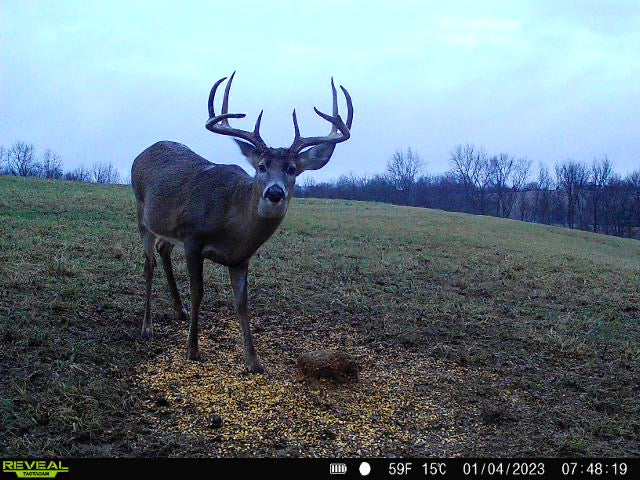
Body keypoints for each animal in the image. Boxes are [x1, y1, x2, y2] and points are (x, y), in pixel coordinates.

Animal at [131, 73, 353, 373]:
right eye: (261, 166)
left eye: (292, 169)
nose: (274, 192)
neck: (231, 225)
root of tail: (142, 153)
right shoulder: (192, 237)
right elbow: (198, 292)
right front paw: (192, 349)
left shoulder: (240, 258)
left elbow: (242, 303)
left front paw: (254, 361)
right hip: (143, 216)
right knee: (148, 265)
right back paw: (147, 328)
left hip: (167, 228)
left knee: (163, 250)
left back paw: (180, 311)